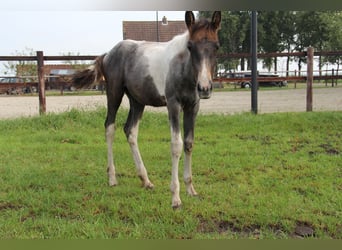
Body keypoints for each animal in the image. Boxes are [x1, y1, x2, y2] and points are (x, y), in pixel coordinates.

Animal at [73, 11, 222, 207]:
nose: (204, 88)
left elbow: (189, 143)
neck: (183, 68)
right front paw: (175, 198)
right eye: (190, 46)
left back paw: (145, 180)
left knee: (130, 130)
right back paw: (112, 178)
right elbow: (176, 145)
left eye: (217, 46)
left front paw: (191, 189)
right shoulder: (173, 105)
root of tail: (107, 54)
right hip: (114, 93)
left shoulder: (193, 106)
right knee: (110, 127)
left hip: (137, 101)